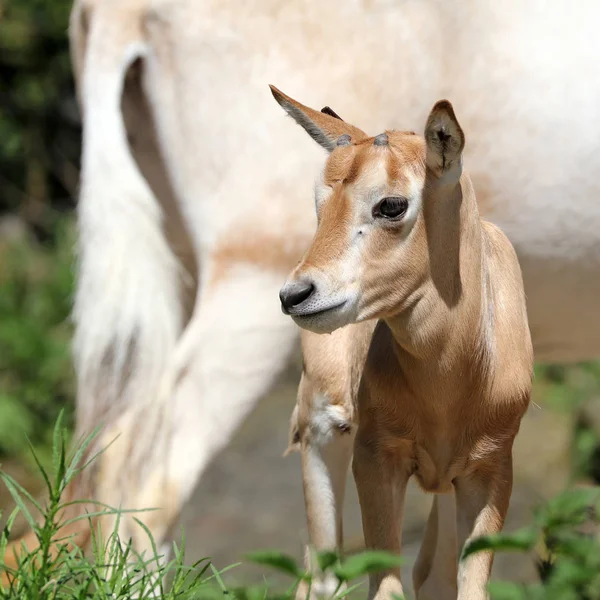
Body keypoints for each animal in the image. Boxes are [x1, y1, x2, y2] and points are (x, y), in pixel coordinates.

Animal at [274, 85, 536, 600]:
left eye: (391, 204)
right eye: (321, 205)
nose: (296, 295)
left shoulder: (490, 469)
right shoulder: (377, 458)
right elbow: (385, 588)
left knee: (431, 575)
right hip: (322, 431)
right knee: (322, 578)